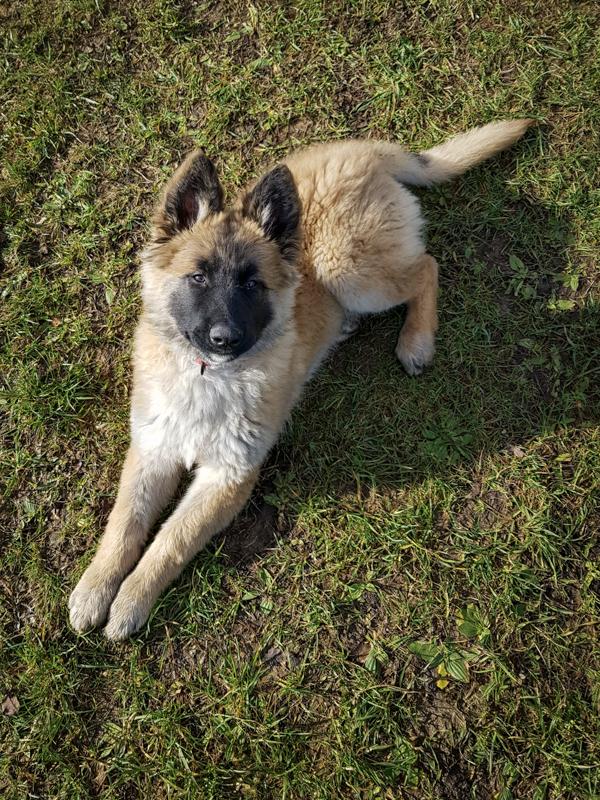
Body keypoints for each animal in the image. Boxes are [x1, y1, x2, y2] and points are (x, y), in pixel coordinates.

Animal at [68, 117, 532, 636]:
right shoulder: (152, 450)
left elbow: (171, 540)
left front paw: (131, 600)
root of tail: (361, 152)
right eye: (198, 278)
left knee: (426, 268)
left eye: (252, 284)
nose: (223, 338)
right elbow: (124, 524)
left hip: (345, 267)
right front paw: (96, 587)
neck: (208, 378)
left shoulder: (228, 476)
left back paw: (416, 340)